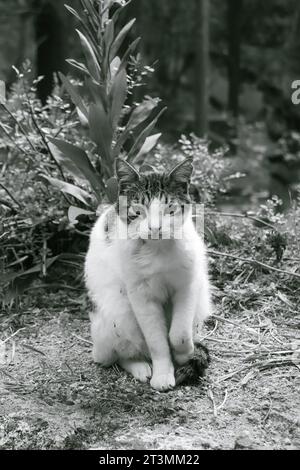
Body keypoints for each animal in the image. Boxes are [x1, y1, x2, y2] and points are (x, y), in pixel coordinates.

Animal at [84, 156, 211, 392]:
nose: (155, 228)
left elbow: (179, 334)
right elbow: (157, 341)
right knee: (116, 355)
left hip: (201, 303)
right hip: (116, 313)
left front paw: (185, 355)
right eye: (138, 210)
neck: (158, 249)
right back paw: (140, 367)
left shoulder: (188, 285)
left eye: (169, 209)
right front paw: (163, 373)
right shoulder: (141, 296)